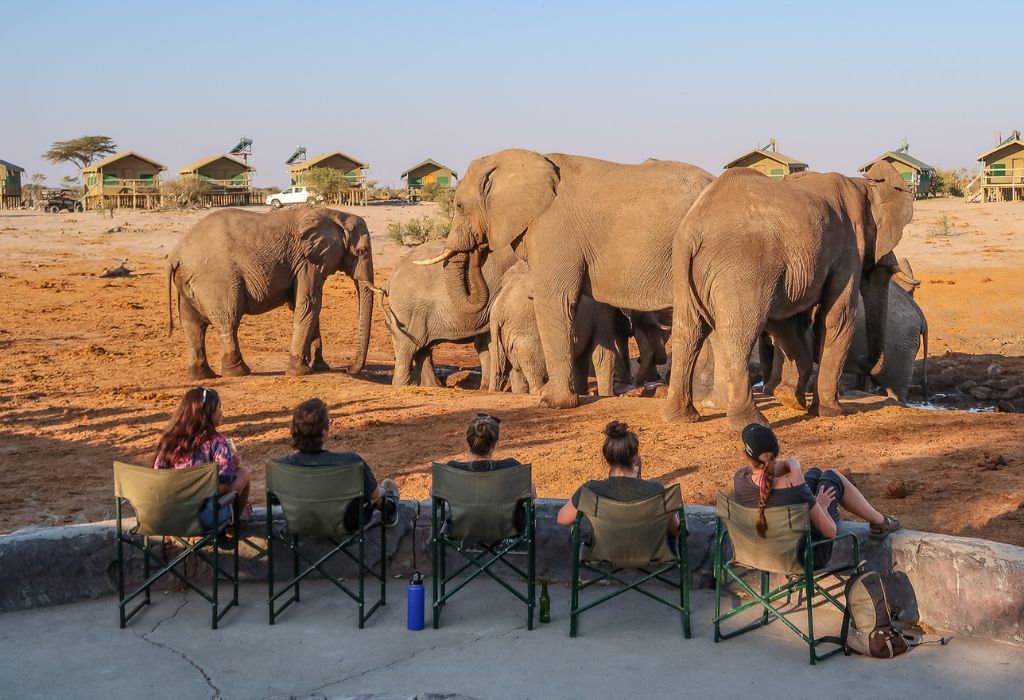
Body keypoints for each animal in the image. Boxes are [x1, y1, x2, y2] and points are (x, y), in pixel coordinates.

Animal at [165, 206, 374, 376]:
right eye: (362, 251)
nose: (348, 369)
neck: (337, 215)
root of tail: (174, 256)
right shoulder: (307, 263)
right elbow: (309, 304)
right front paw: (301, 372)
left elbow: (306, 307)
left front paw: (320, 367)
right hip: (216, 279)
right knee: (228, 320)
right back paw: (238, 372)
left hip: (188, 283)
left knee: (192, 325)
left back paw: (200, 375)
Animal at [380, 237, 516, 384]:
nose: (477, 250)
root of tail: (389, 279)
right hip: (408, 310)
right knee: (408, 348)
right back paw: (402, 385)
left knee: (421, 349)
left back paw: (433, 385)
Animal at [487, 260, 614, 397]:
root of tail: (498, 308)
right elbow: (602, 354)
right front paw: (606, 395)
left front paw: (581, 392)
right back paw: (540, 391)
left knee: (512, 366)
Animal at [667, 161, 917, 429]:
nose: (868, 368)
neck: (863, 184)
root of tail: (694, 230)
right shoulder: (848, 247)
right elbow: (836, 318)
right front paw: (830, 412)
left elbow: (787, 322)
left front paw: (789, 398)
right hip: (742, 268)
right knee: (739, 334)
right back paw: (751, 422)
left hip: (684, 268)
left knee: (688, 332)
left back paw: (682, 417)